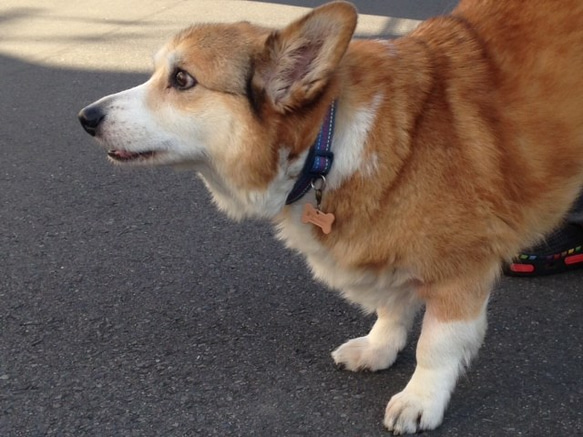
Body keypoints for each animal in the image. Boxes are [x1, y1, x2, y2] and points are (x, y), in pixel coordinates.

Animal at [77, 0, 583, 432]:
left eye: (182, 80)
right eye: (157, 71)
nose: (86, 117)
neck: (329, 140)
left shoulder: (460, 270)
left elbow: (435, 345)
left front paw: (420, 400)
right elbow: (393, 307)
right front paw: (379, 347)